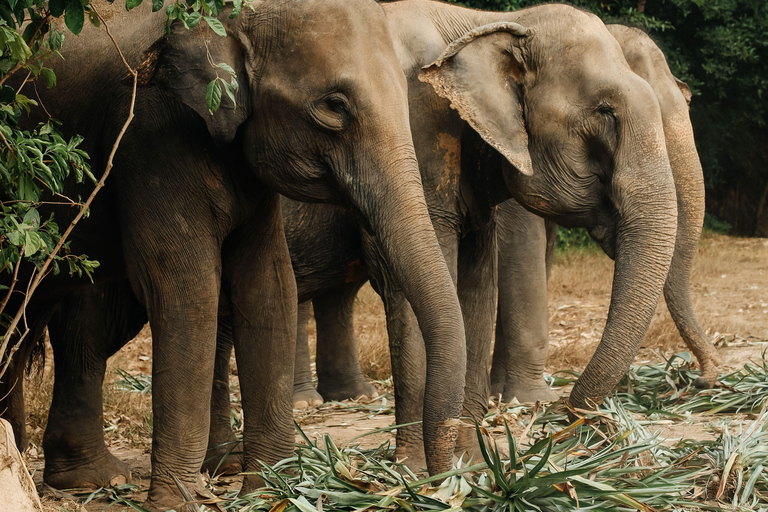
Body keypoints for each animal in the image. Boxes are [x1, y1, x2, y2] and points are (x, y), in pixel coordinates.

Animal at [0, 0, 468, 506]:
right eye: (334, 106)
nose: (439, 485)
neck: (229, 18)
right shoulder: (153, 137)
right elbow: (187, 290)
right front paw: (176, 504)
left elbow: (269, 285)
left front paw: (273, 491)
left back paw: (71, 475)